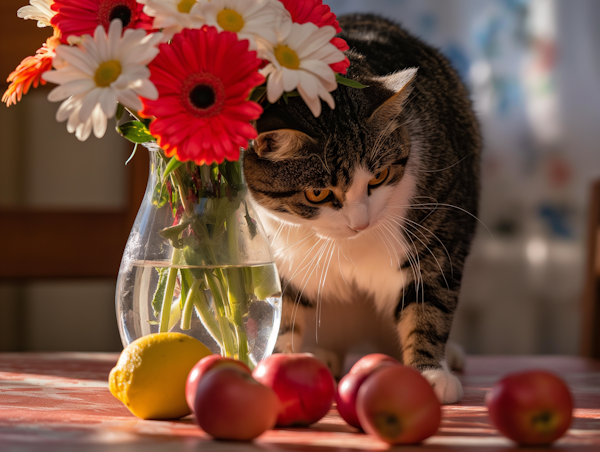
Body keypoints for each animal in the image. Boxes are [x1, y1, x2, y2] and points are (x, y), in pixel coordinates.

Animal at [241, 14, 480, 404]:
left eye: (379, 176)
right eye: (318, 193)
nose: (361, 223)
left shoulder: (441, 225)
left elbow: (429, 299)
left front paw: (429, 371)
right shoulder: (278, 251)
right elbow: (282, 307)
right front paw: (279, 359)